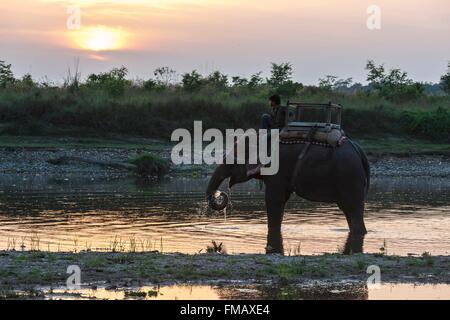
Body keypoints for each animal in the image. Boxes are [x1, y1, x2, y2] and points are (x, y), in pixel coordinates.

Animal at [206, 138, 370, 255]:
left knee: (352, 209)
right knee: (350, 210)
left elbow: (273, 199)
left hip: (349, 177)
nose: (221, 194)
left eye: (233, 160)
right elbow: (281, 200)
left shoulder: (278, 169)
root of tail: (360, 151)